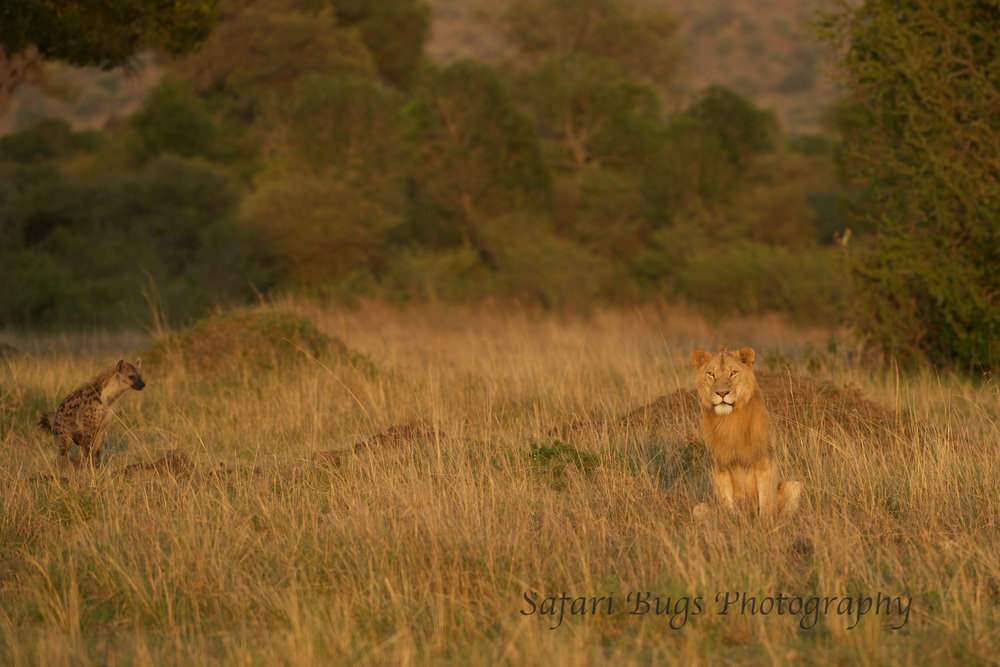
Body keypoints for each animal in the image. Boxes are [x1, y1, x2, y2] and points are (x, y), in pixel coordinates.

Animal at [692, 348, 800, 524]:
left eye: (733, 373)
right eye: (711, 374)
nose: (722, 392)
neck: (729, 420)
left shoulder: (765, 461)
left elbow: (766, 501)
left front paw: (765, 524)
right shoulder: (718, 466)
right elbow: (725, 501)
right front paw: (730, 522)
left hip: (795, 485)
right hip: (699, 507)